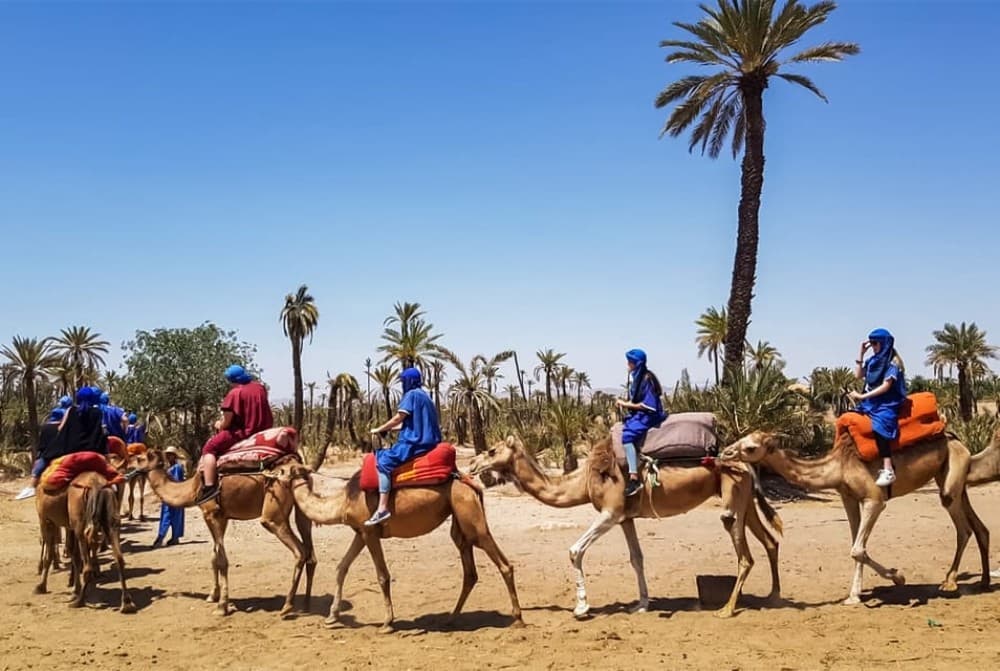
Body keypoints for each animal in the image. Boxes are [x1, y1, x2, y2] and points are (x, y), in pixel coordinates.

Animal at [35, 473, 135, 612]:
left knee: (87, 566)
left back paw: (79, 601)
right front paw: (74, 588)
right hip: (111, 519)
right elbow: (73, 554)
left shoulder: (46, 520)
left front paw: (41, 586)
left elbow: (49, 555)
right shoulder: (69, 525)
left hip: (79, 524)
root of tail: (97, 486)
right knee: (119, 558)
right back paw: (126, 603)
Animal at [141, 449, 316, 617]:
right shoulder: (222, 517)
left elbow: (222, 560)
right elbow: (214, 556)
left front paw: (222, 606)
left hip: (274, 513)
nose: (132, 468)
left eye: (139, 457)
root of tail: (300, 468)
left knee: (299, 551)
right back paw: (306, 604)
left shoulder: (212, 514)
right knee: (310, 554)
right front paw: (212, 595)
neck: (193, 488)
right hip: (302, 507)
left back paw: (287, 607)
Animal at [270, 462, 523, 633]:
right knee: (470, 572)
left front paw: (387, 623)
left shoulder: (370, 532)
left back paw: (518, 619)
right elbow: (341, 568)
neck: (343, 501)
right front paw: (332, 617)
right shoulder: (360, 532)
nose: (268, 473)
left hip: (471, 517)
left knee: (504, 564)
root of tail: (471, 483)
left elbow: (382, 575)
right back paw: (451, 619)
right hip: (460, 522)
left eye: (282, 469)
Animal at [468, 436, 782, 618]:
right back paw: (773, 596)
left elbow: (574, 551)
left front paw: (581, 607)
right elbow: (636, 558)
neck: (584, 480)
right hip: (746, 500)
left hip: (733, 498)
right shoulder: (625, 518)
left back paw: (727, 609)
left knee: (745, 554)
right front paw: (641, 604)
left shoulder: (611, 512)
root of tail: (746, 463)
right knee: (770, 541)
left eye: (492, 450)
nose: (471, 465)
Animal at [719, 431, 991, 604]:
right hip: (951, 479)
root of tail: (959, 441)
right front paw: (854, 595)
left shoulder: (874, 499)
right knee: (980, 528)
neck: (838, 466)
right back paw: (984, 582)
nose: (725, 452)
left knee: (964, 528)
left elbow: (857, 548)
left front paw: (898, 577)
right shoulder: (848, 497)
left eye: (751, 447)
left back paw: (950, 582)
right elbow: (856, 545)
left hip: (951, 479)